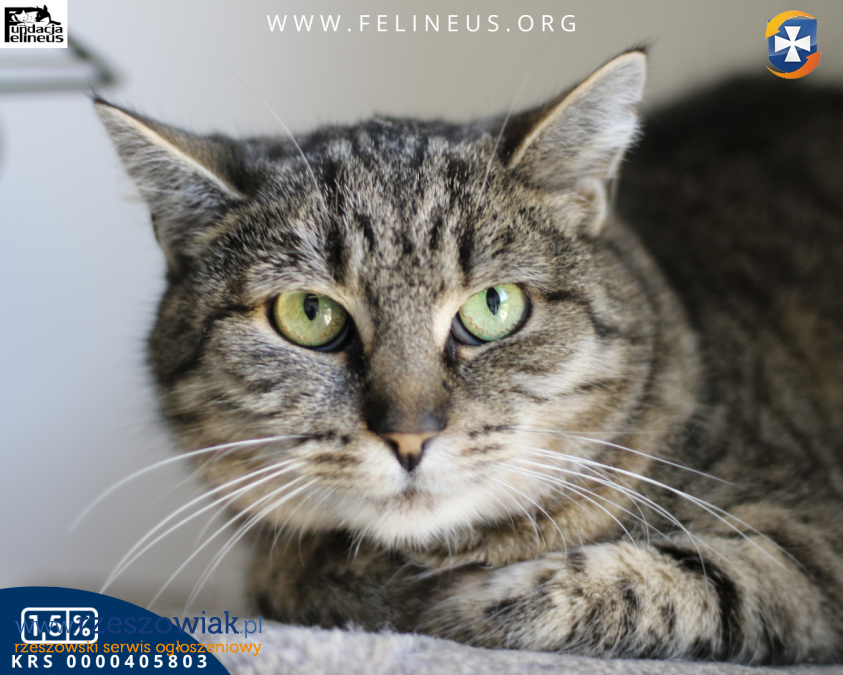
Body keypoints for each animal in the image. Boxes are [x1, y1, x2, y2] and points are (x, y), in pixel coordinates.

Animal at [96, 49, 843, 664]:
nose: (409, 435)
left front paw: (445, 600)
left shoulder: (812, 538)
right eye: (309, 314)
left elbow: (669, 581)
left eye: (493, 306)